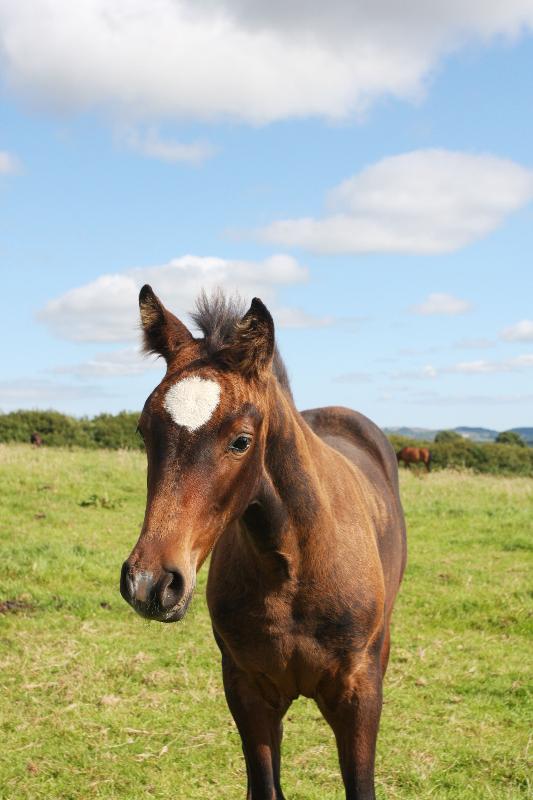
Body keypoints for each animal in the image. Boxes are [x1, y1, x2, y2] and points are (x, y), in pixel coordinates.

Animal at [119, 288, 404, 800]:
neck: (290, 566)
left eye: (241, 441)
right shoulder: (246, 689)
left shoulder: (359, 695)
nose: (150, 583)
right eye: (144, 430)